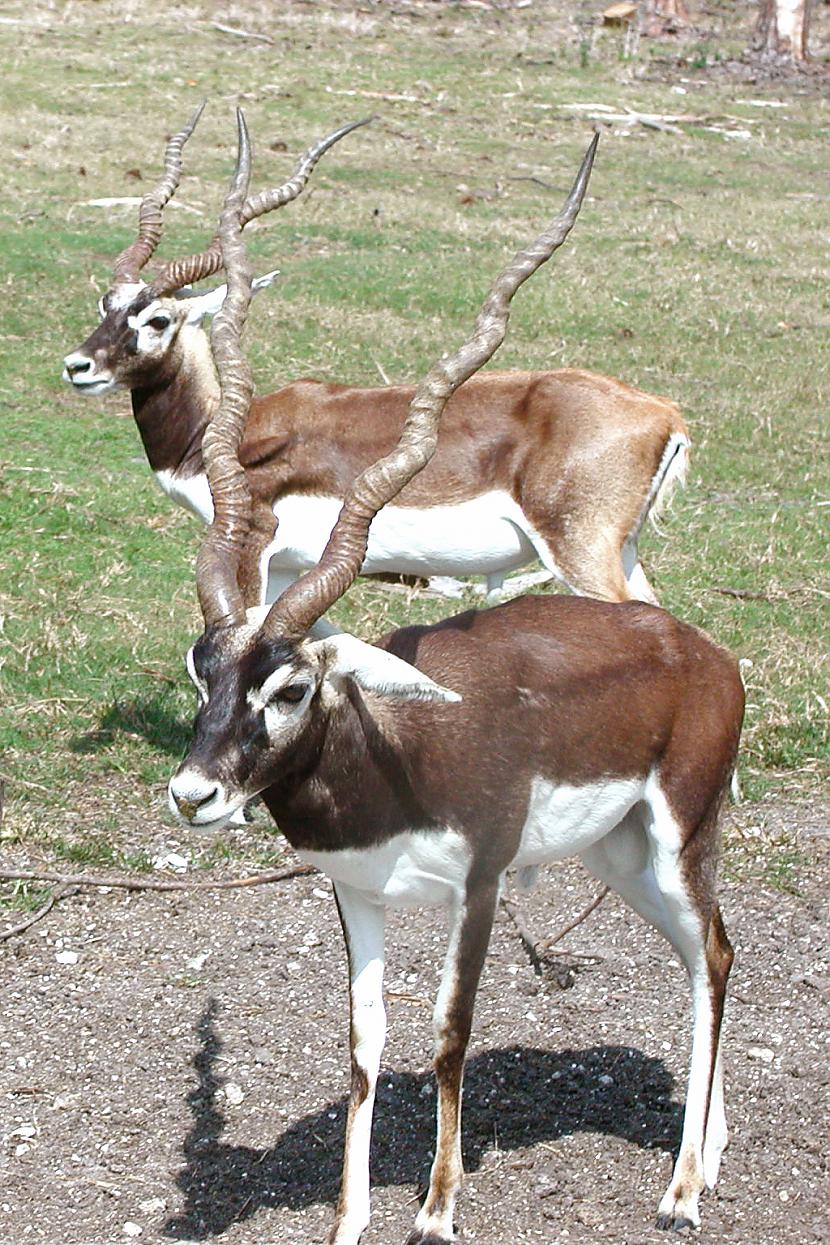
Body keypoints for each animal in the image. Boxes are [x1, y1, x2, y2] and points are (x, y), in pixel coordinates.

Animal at [63, 109, 686, 605]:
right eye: (105, 304)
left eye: (158, 320)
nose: (78, 366)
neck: (215, 432)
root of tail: (665, 415)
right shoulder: (290, 567)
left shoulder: (251, 546)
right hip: (624, 552)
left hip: (580, 552)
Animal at [169, 112, 746, 1240]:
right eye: (203, 669)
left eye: (289, 687)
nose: (193, 793)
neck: (394, 755)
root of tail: (698, 649)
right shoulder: (357, 893)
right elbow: (361, 1052)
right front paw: (348, 1219)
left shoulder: (476, 887)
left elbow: (448, 1033)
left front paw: (435, 1211)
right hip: (619, 855)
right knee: (706, 950)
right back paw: (704, 1156)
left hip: (679, 834)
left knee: (710, 957)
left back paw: (682, 1194)